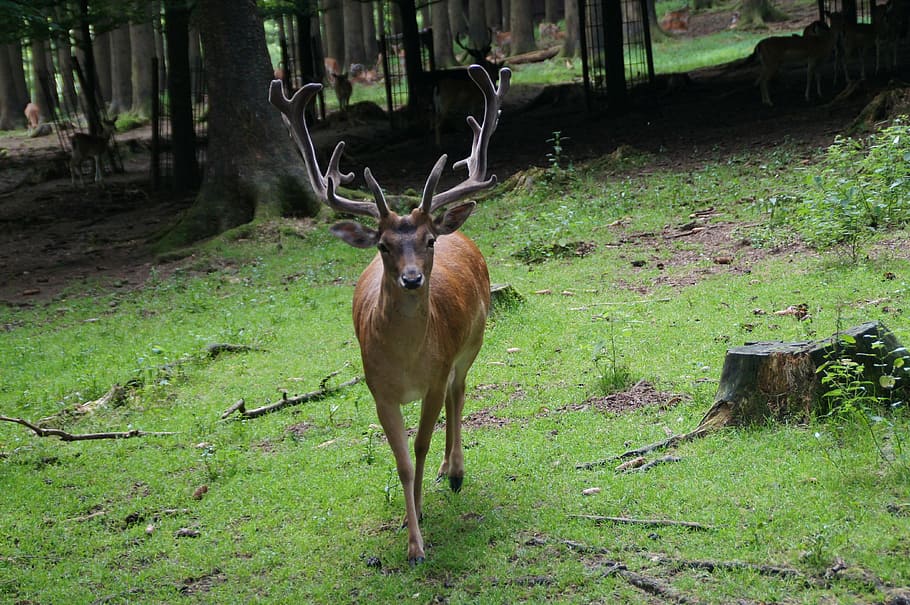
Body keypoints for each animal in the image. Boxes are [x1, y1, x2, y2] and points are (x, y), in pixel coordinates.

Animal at [269, 64, 511, 566]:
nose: (413, 279)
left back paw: (455, 471)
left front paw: (419, 529)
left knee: (460, 392)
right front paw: (411, 532)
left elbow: (419, 446)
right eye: (383, 245)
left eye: (428, 241)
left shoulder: (434, 375)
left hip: (473, 343)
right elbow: (401, 462)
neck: (406, 363)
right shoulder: (377, 389)